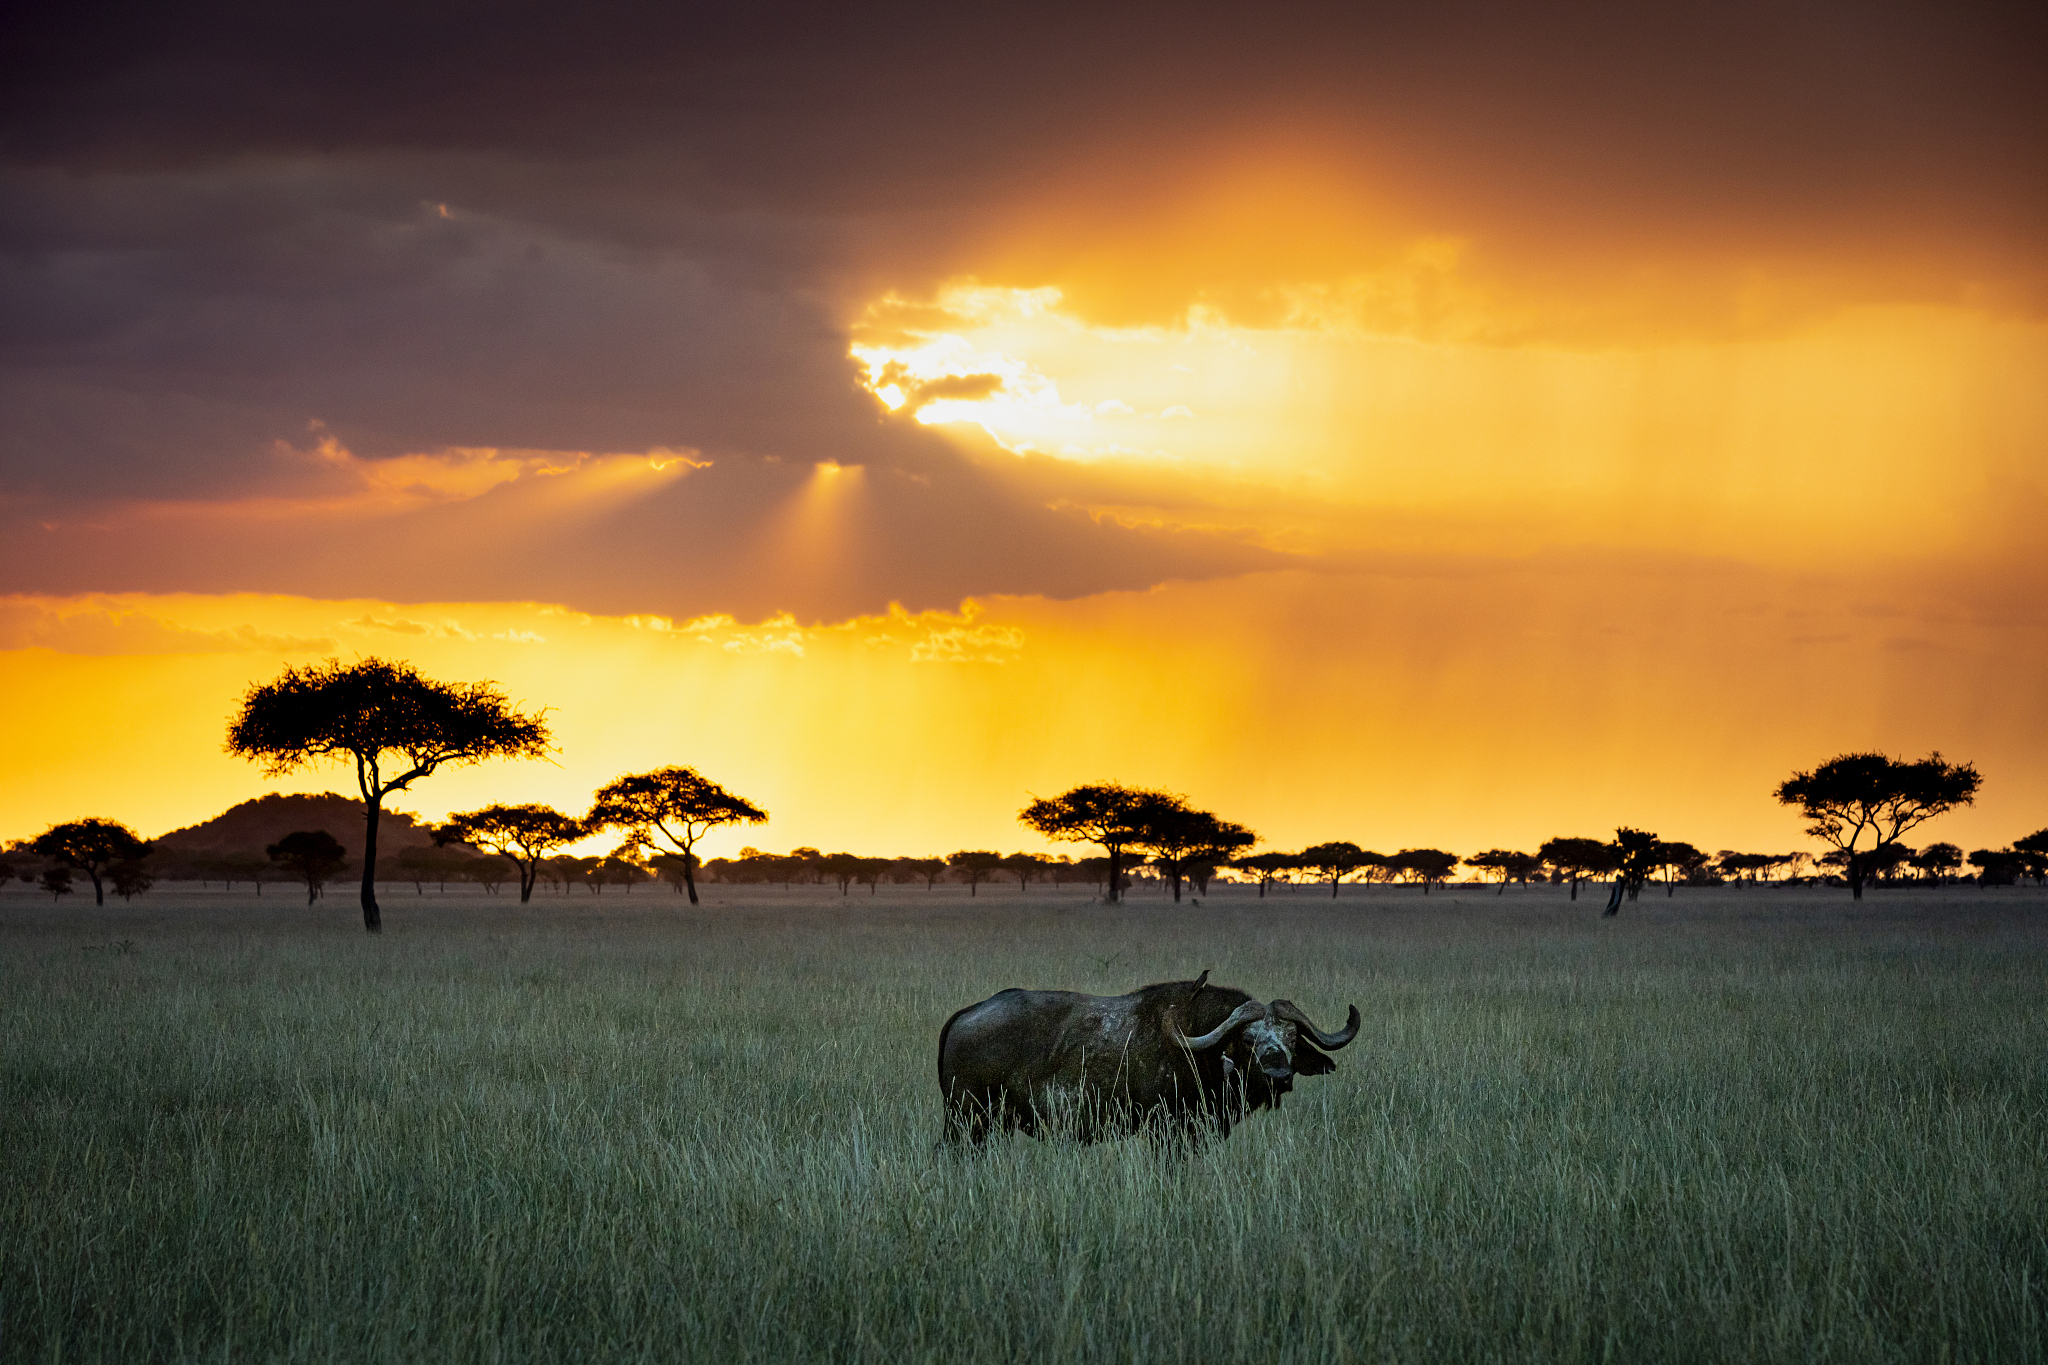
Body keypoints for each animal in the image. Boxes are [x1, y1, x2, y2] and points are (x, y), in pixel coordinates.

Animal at [937, 971, 1360, 1142]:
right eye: (1246, 1040)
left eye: (1291, 1036)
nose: (1278, 1074)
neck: (1199, 1053)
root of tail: (968, 1013)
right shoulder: (1166, 1131)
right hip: (967, 1121)